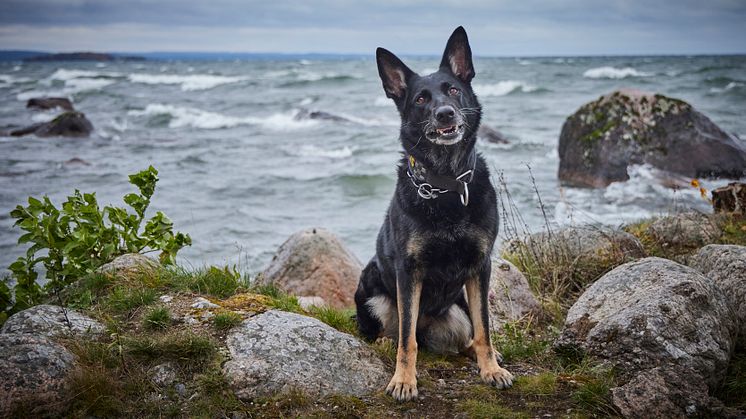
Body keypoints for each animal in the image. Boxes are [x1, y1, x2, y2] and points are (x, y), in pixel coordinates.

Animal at [354, 27, 512, 404]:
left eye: (452, 89)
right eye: (420, 100)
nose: (445, 114)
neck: (446, 185)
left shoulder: (480, 267)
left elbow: (485, 329)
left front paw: (491, 369)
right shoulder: (408, 272)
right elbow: (406, 340)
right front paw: (404, 380)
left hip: (459, 309)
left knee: (466, 335)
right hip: (371, 289)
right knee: (399, 332)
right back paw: (385, 341)